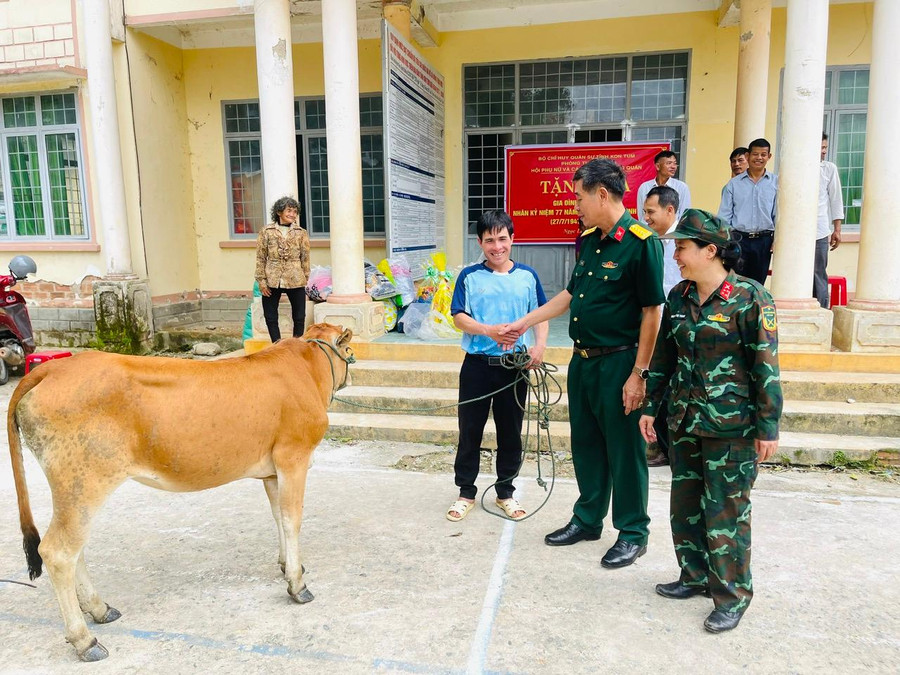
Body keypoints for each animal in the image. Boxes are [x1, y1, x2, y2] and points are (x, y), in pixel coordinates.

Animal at [9, 322, 356, 660]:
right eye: (350, 348)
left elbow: (276, 516)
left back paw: (99, 609)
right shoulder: (293, 457)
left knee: (74, 549)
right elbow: (291, 519)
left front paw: (286, 565)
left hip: (74, 491)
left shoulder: (271, 471)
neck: (308, 366)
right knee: (58, 552)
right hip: (83, 483)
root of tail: (53, 369)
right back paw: (85, 640)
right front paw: (297, 584)